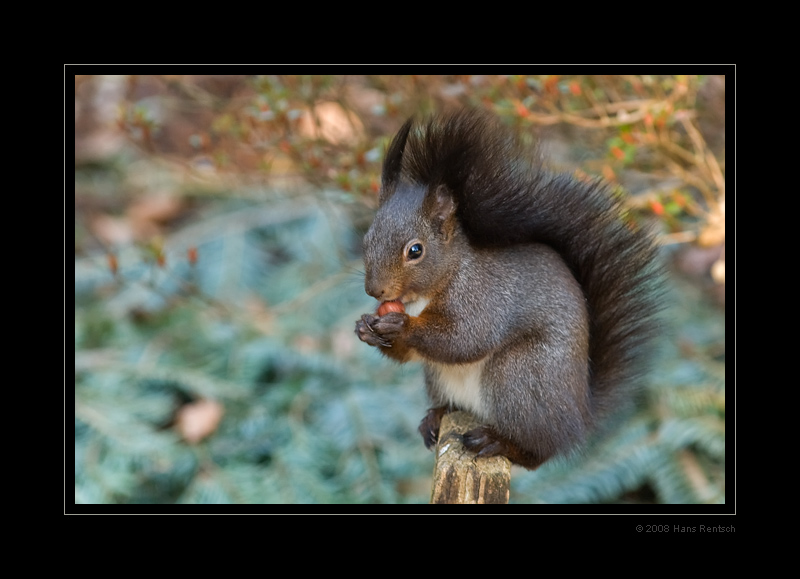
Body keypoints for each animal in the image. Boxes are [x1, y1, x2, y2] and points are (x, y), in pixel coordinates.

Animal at [354, 109, 664, 472]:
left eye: (415, 251)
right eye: (366, 239)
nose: (375, 291)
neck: (425, 294)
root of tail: (578, 416)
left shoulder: (483, 297)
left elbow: (464, 338)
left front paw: (400, 326)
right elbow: (412, 354)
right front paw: (365, 329)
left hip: (519, 375)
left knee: (537, 453)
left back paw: (498, 441)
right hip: (441, 379)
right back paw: (436, 417)